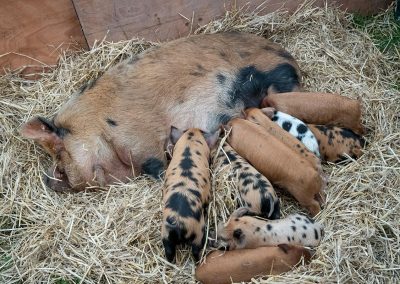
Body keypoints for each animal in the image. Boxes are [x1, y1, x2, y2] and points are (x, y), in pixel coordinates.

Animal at [21, 32, 300, 191]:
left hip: (278, 80)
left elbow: (155, 163)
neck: (98, 126)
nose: (48, 180)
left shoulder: (141, 138)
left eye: (59, 155)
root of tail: (290, 57)